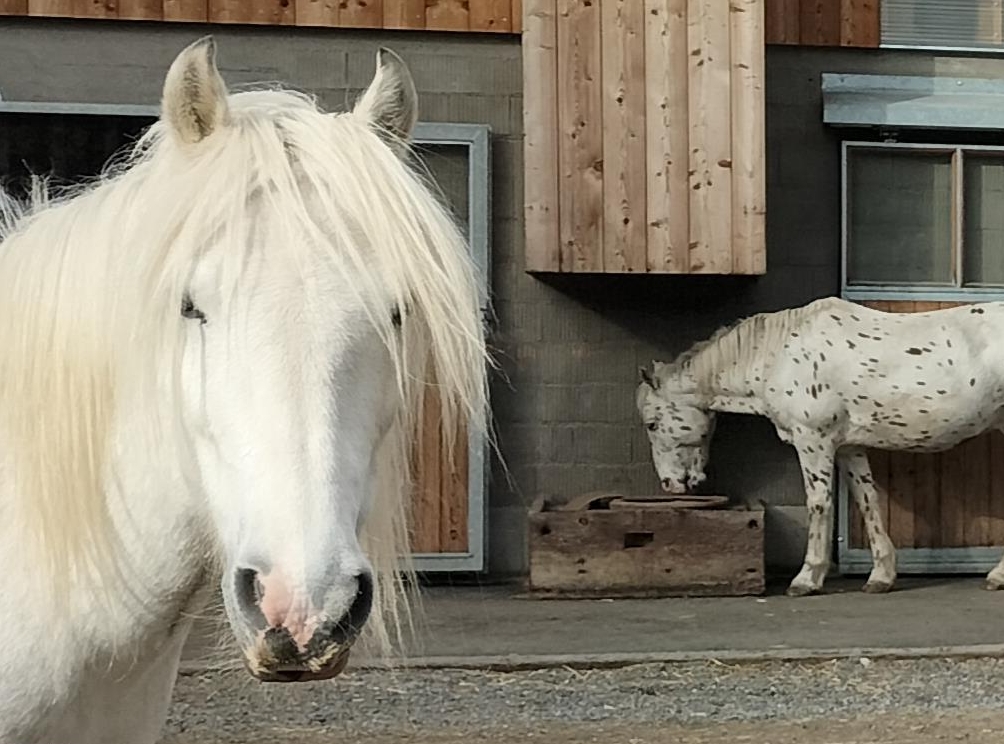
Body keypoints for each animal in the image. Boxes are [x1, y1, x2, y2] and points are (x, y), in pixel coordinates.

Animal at [636, 296, 1004, 598]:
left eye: (652, 423)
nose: (672, 484)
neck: (778, 354)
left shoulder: (813, 440)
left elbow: (818, 503)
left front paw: (807, 578)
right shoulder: (848, 448)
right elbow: (868, 502)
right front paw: (881, 576)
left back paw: (997, 576)